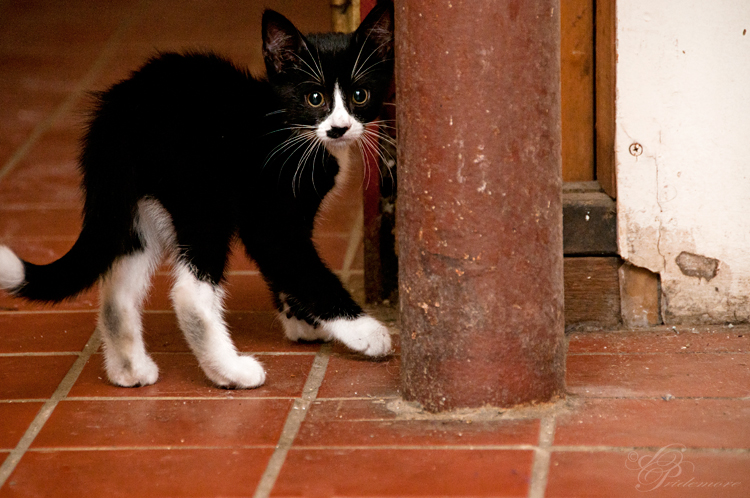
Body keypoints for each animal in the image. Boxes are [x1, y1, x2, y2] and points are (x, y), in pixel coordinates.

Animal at [0, 3, 396, 390]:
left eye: (360, 95)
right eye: (315, 98)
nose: (340, 128)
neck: (286, 128)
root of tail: (118, 112)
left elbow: (284, 266)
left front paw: (302, 321)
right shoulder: (269, 217)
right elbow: (303, 267)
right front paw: (364, 332)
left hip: (133, 207)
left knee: (117, 290)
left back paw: (130, 371)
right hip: (204, 197)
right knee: (190, 295)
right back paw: (232, 373)